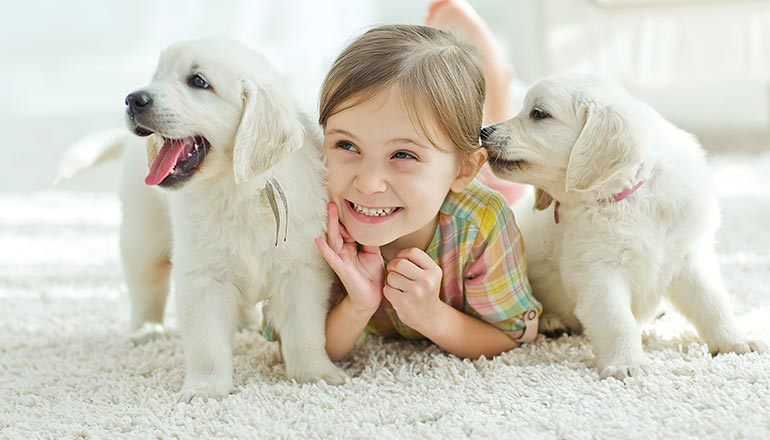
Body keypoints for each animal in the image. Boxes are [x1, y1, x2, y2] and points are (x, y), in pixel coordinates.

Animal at [480, 74, 760, 380]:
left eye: (539, 114)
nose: (483, 132)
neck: (628, 197)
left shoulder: (688, 256)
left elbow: (713, 303)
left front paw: (734, 342)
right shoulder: (597, 268)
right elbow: (615, 319)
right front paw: (626, 363)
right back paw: (552, 322)